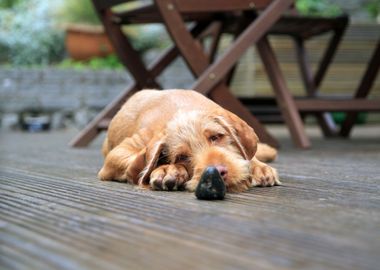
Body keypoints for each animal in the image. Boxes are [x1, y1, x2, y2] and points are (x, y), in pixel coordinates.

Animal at [99, 90, 280, 192]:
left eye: (215, 137)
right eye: (181, 157)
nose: (218, 173)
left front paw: (258, 167)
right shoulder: (118, 153)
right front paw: (168, 170)